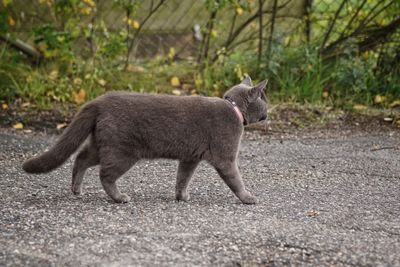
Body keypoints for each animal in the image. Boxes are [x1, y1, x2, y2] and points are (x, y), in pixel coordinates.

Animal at [21, 75, 266, 205]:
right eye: (265, 98)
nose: (269, 110)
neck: (234, 109)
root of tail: (100, 100)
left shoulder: (189, 158)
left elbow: (182, 178)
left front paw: (181, 196)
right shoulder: (225, 157)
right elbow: (235, 179)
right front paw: (248, 197)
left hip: (101, 145)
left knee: (81, 158)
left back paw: (76, 189)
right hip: (123, 151)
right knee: (105, 174)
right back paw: (119, 197)